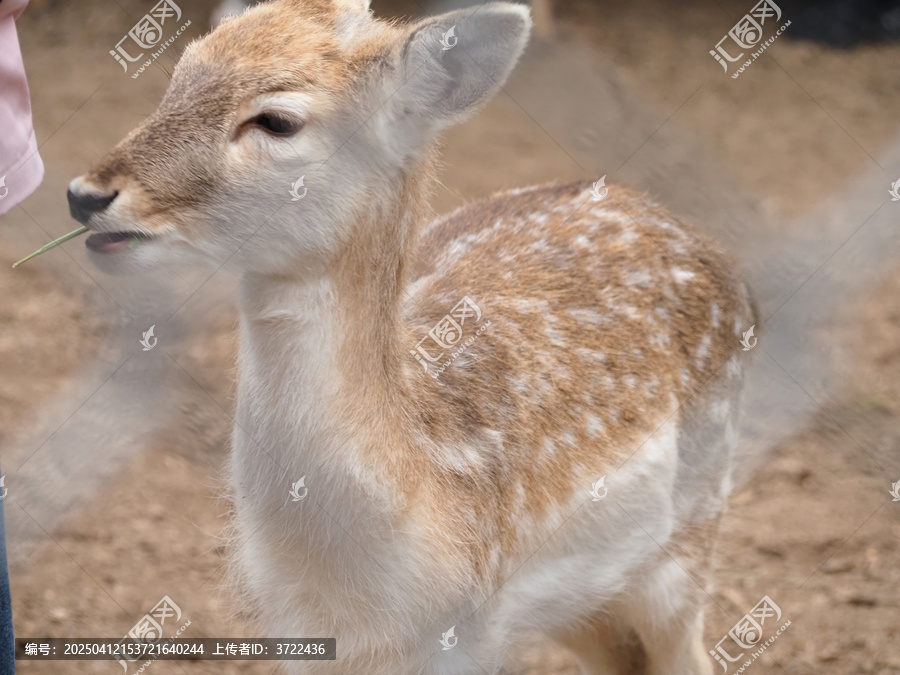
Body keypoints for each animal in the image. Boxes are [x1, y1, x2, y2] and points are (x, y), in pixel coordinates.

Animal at [66, 0, 756, 672]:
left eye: (278, 121)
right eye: (177, 76)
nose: (84, 194)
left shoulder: (469, 630)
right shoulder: (301, 633)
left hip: (691, 533)